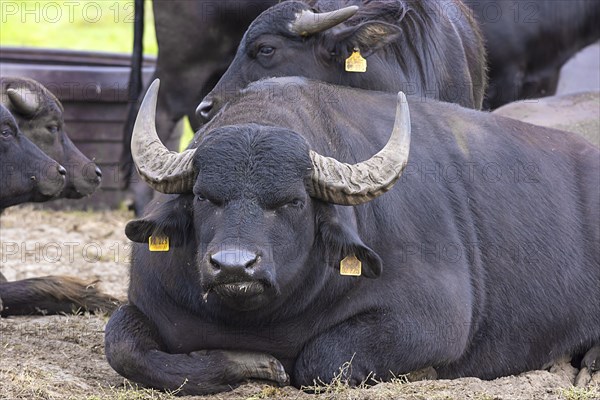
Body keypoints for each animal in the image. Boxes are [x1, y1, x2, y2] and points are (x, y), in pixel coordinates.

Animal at [105, 78, 596, 394]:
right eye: (204, 196)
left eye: (292, 202)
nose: (233, 266)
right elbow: (122, 346)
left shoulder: (433, 319)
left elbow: (319, 361)